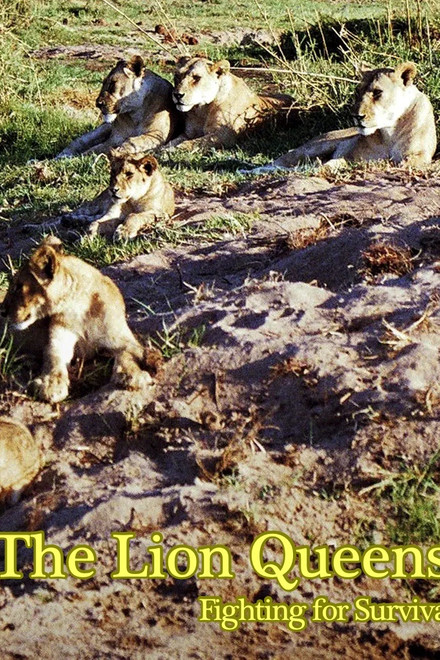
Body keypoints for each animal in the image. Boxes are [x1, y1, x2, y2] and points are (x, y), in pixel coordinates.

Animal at [1, 237, 153, 403]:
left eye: (18, 287)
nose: (2, 311)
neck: (77, 306)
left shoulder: (124, 339)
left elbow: (127, 355)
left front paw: (132, 375)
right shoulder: (59, 339)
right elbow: (54, 359)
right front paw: (51, 384)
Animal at [164, 56, 293, 150]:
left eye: (196, 78)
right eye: (177, 76)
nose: (177, 95)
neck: (202, 110)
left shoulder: (227, 134)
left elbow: (196, 142)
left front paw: (172, 151)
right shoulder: (188, 133)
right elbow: (174, 141)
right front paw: (163, 148)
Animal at [263, 62, 436, 171]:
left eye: (377, 92)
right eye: (357, 92)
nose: (356, 116)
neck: (389, 131)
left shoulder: (421, 155)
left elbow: (405, 163)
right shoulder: (352, 156)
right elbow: (334, 163)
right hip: (312, 148)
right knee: (273, 164)